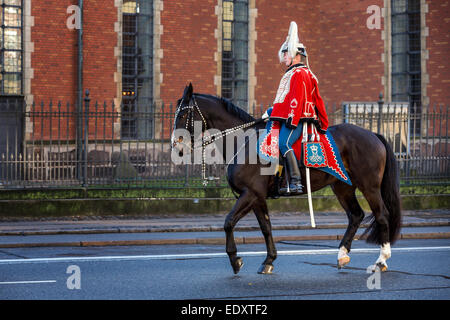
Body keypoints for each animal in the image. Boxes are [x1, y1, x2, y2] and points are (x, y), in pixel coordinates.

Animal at [171, 84, 400, 276]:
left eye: (183, 113)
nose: (176, 145)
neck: (244, 142)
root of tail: (373, 134)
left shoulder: (249, 194)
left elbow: (228, 222)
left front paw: (235, 260)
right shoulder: (257, 197)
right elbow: (266, 227)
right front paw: (269, 260)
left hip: (369, 187)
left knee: (381, 215)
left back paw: (381, 260)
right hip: (343, 187)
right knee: (356, 215)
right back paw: (342, 255)